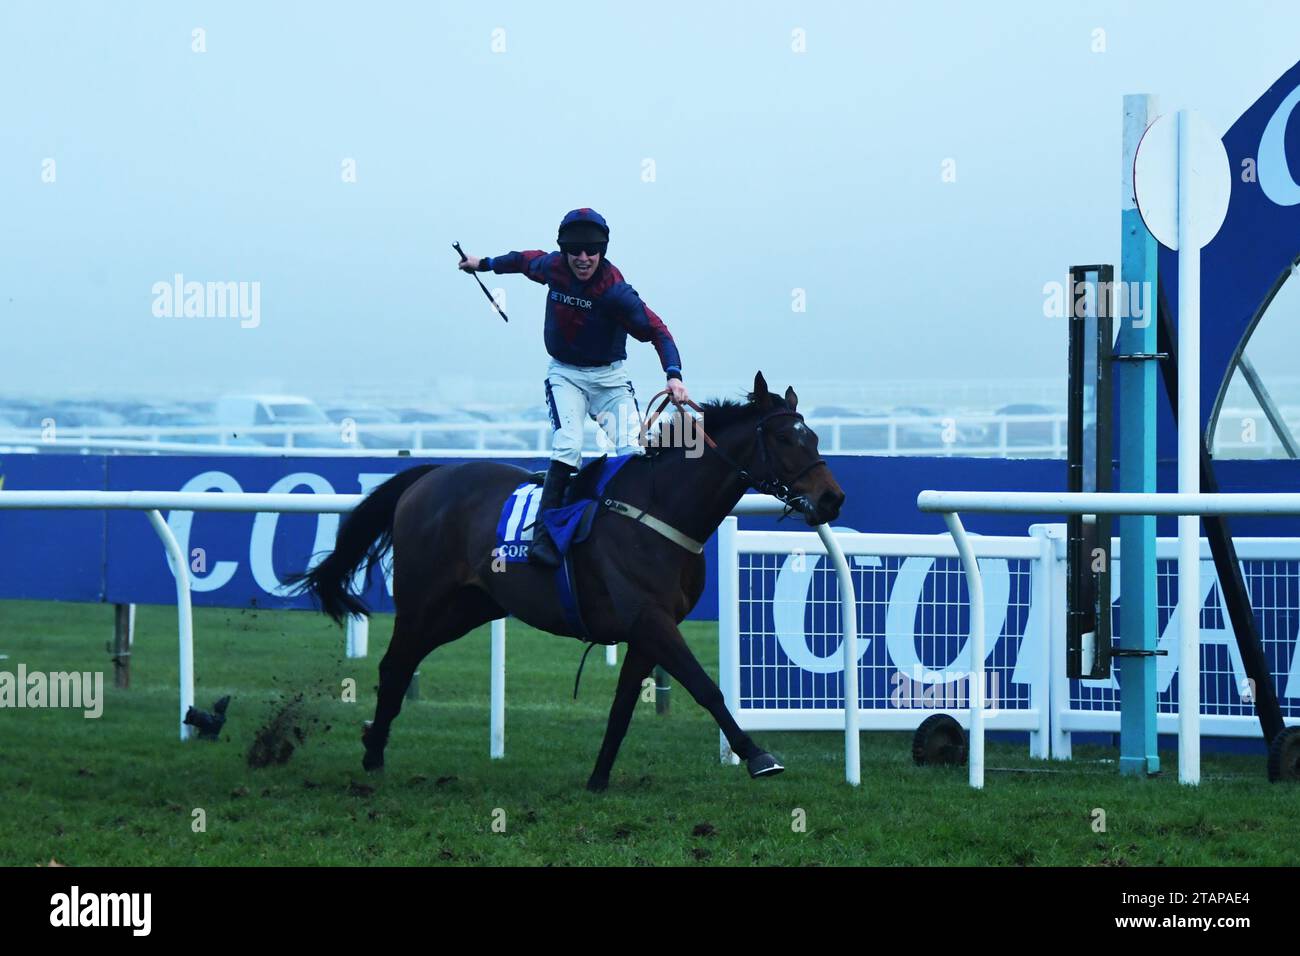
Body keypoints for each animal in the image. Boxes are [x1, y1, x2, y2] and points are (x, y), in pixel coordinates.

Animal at [289, 374, 847, 790]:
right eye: (784, 438)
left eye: (816, 438)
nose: (832, 498)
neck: (659, 510)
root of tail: (427, 476)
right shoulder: (651, 619)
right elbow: (706, 687)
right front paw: (757, 755)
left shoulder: (647, 630)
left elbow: (623, 705)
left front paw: (598, 779)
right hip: (423, 601)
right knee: (394, 666)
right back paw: (373, 757)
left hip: (466, 609)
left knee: (403, 664)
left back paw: (373, 744)